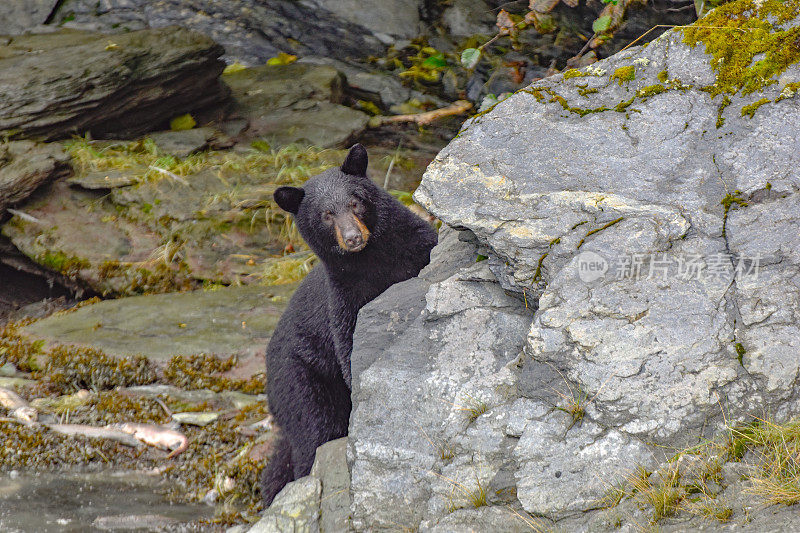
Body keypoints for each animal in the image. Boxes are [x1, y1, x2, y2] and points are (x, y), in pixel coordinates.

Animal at [260, 143, 438, 504]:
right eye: (326, 214)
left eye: (355, 201)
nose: (354, 237)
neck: (372, 261)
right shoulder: (344, 299)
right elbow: (350, 349)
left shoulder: (418, 247)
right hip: (301, 382)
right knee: (313, 433)